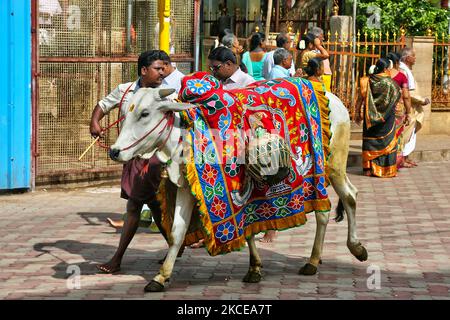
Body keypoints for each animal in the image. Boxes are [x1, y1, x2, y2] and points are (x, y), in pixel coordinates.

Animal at [108, 73, 366, 292]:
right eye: (125, 112)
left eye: (144, 113)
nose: (114, 151)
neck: (185, 133)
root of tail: (335, 99)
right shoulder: (187, 188)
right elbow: (177, 233)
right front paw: (161, 277)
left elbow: (245, 226)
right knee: (341, 200)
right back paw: (319, 257)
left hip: (331, 166)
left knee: (342, 201)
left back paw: (341, 252)